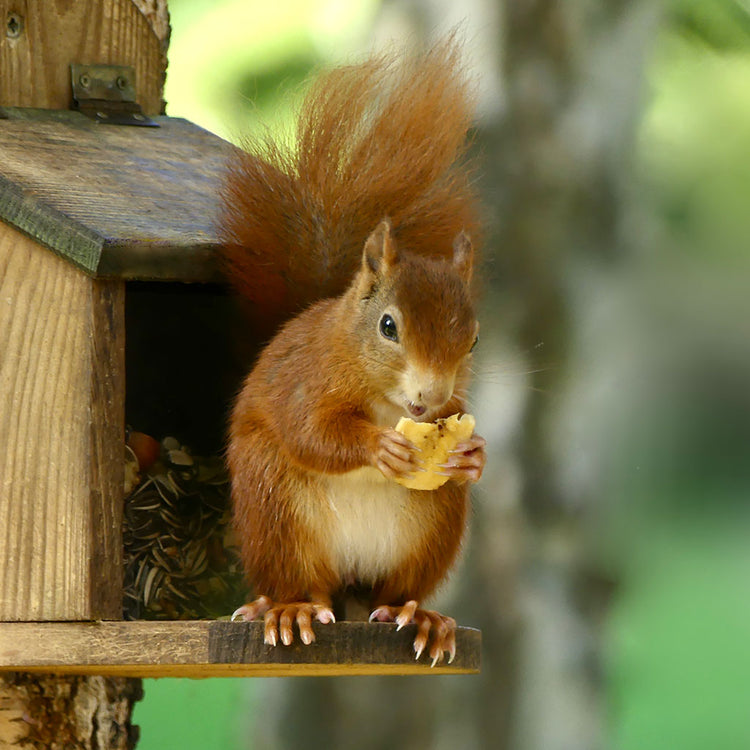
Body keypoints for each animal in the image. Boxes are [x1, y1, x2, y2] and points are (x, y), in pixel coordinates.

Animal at [219, 38, 488, 668]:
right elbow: (311, 432)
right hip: (276, 508)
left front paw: (473, 455)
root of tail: (346, 588)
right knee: (302, 582)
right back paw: (288, 609)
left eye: (474, 339)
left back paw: (422, 618)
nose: (430, 399)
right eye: (389, 326)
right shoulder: (307, 378)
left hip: (431, 529)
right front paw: (378, 448)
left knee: (394, 594)